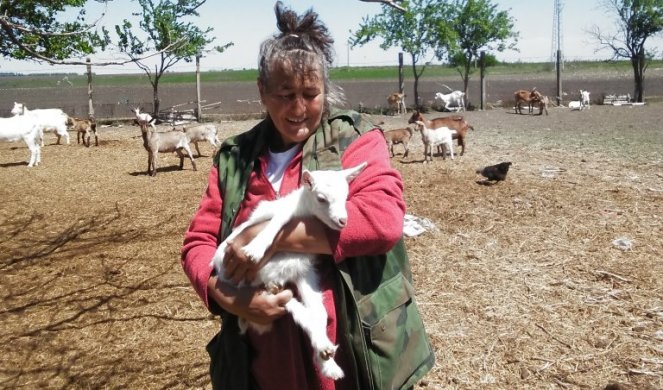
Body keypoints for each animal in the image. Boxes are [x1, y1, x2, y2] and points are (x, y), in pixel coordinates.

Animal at [210, 162, 368, 380]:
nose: (342, 221)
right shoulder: (273, 214)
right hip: (253, 280)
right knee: (288, 301)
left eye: (346, 196)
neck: (303, 209)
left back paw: (327, 359)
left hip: (301, 272)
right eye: (321, 198)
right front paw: (254, 250)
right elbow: (278, 220)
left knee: (315, 310)